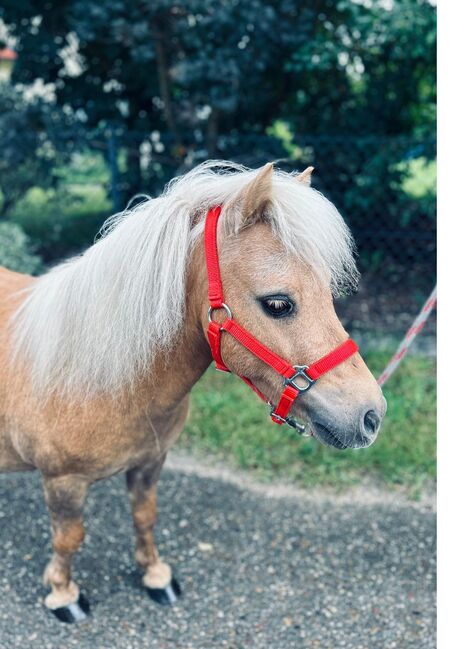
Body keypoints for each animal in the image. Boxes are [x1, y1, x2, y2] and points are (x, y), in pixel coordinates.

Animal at [0, 159, 384, 620]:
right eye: (277, 304)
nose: (370, 415)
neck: (96, 375)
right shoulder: (63, 481)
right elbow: (68, 538)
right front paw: (63, 595)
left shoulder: (149, 462)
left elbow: (144, 517)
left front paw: (155, 576)